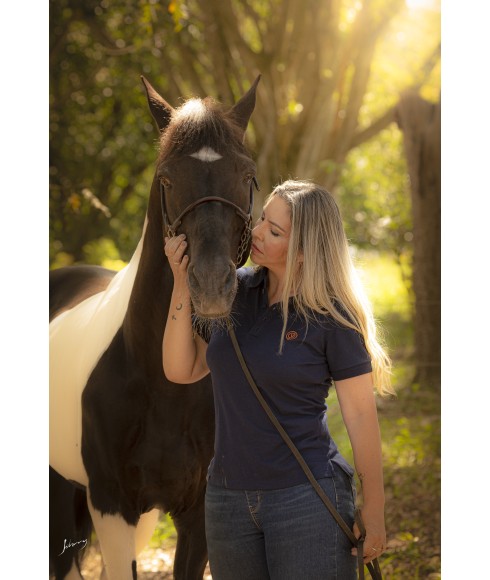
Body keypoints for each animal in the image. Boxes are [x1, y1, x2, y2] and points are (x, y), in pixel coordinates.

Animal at [50, 73, 260, 580]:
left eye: (247, 176)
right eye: (166, 178)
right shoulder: (112, 508)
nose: (211, 286)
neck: (162, 381)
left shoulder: (196, 513)